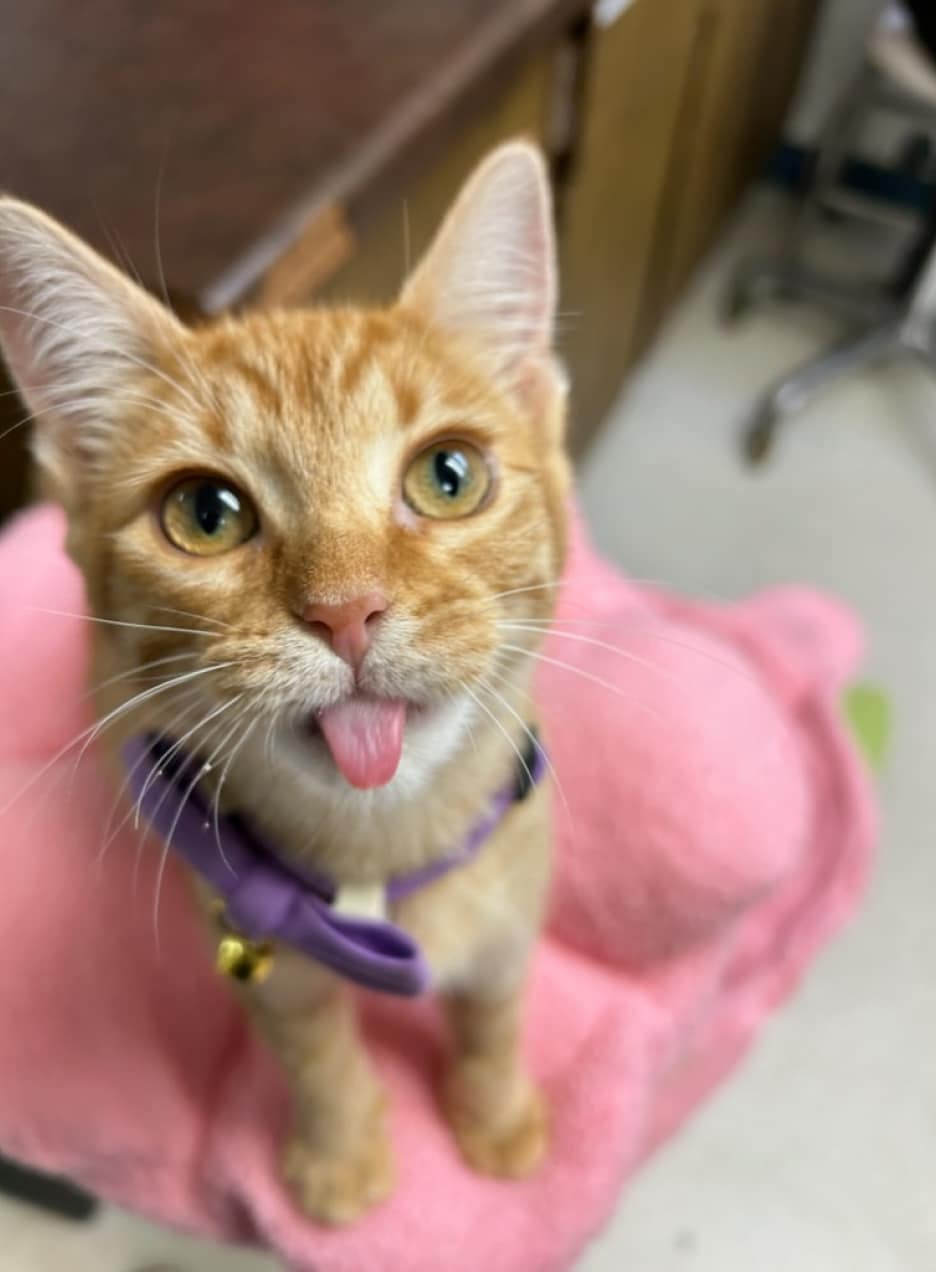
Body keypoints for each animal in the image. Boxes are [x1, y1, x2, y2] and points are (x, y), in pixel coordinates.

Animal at [0, 139, 567, 1221]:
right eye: (206, 514)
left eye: (449, 477)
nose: (347, 611)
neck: (379, 854)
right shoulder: (263, 959)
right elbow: (314, 1057)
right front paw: (341, 1156)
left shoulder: (513, 908)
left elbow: (496, 1012)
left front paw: (499, 1114)